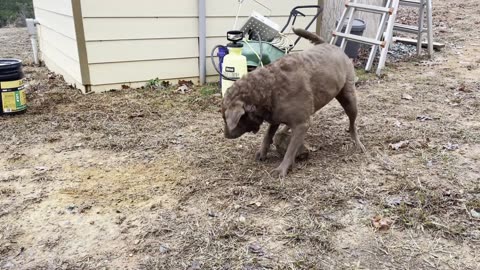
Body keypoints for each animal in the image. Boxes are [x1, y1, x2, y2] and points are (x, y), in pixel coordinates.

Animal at [223, 28, 366, 177]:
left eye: (226, 119)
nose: (226, 135)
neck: (268, 88)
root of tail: (331, 45)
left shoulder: (301, 124)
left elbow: (291, 149)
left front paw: (282, 168)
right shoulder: (275, 116)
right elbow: (268, 136)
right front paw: (263, 153)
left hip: (349, 99)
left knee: (352, 124)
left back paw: (358, 143)